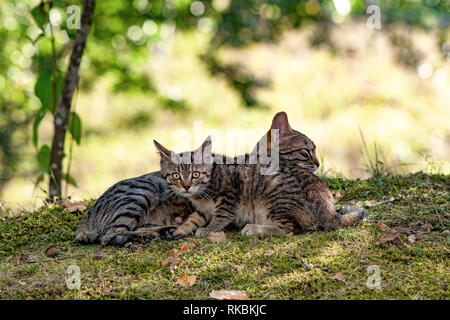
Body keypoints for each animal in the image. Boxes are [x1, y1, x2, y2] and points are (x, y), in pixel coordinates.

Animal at [158, 115, 366, 238]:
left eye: (195, 174)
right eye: (176, 175)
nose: (186, 186)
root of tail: (327, 209)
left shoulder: (229, 195)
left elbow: (221, 216)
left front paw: (209, 230)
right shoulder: (202, 208)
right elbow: (195, 216)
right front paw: (183, 228)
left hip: (273, 199)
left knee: (289, 229)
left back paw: (255, 229)